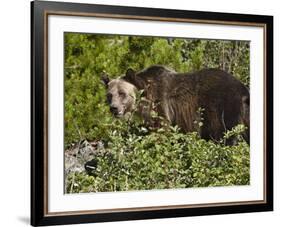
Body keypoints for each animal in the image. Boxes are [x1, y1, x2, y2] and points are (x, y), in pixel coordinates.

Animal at [101, 65, 249, 144]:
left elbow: (160, 128)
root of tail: (242, 88)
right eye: (110, 95)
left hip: (222, 108)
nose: (114, 108)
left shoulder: (160, 103)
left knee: (224, 134)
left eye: (122, 93)